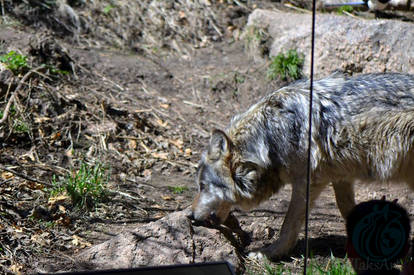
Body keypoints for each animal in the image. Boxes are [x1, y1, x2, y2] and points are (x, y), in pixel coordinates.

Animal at [192, 72, 414, 260]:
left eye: (203, 186)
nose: (191, 217)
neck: (269, 136)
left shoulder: (306, 183)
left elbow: (288, 225)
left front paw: (269, 253)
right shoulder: (341, 177)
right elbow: (346, 209)